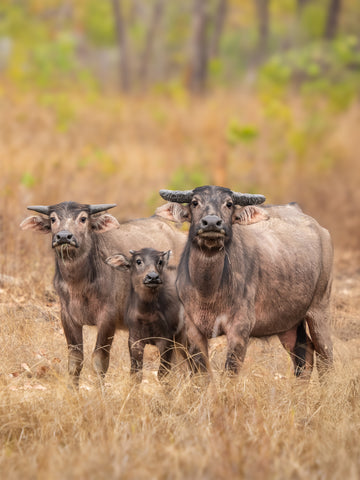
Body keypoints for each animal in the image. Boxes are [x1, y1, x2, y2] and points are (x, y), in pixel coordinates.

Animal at [105, 248, 186, 382]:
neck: (147, 314)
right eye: (138, 261)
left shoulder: (166, 340)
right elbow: (135, 372)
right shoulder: (135, 339)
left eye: (160, 261)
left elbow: (163, 373)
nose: (152, 277)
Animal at [158, 186, 334, 376]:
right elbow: (203, 372)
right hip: (288, 322)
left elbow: (231, 370)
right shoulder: (192, 330)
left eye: (229, 203)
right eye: (194, 202)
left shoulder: (240, 328)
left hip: (319, 310)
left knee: (325, 354)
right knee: (304, 353)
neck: (208, 291)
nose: (212, 222)